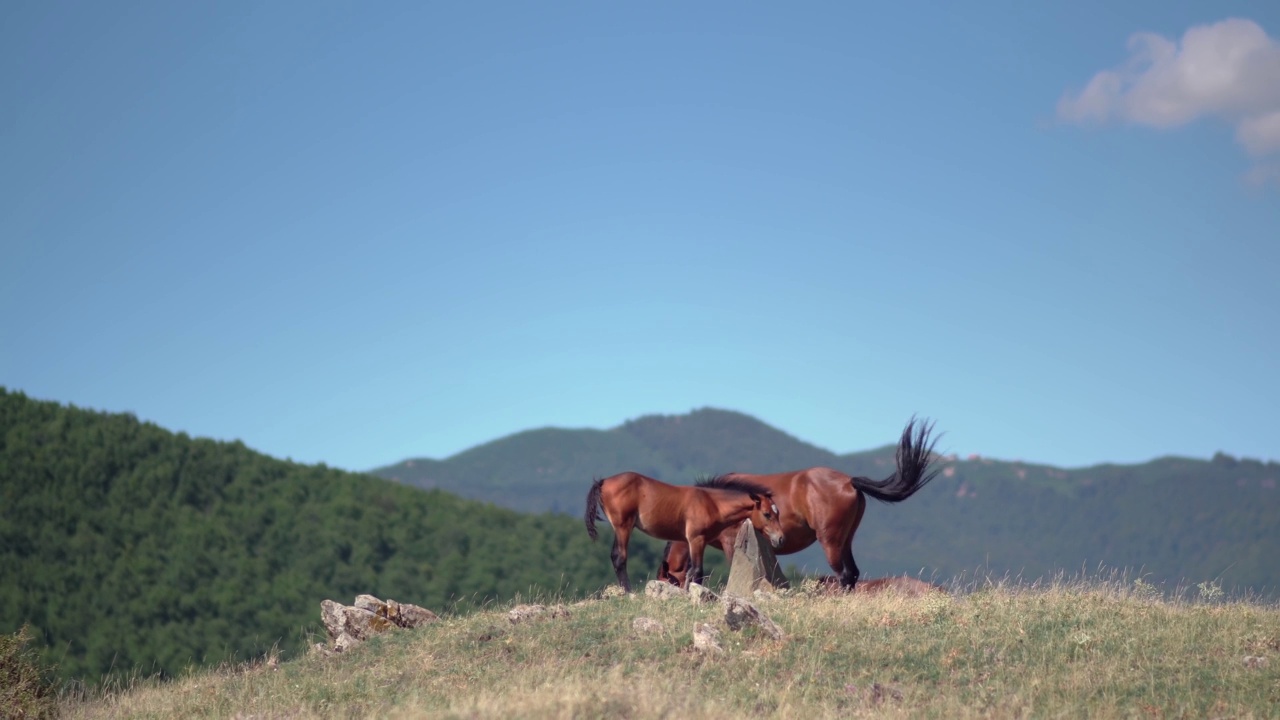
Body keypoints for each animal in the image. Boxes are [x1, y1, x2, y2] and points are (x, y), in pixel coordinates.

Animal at [586, 471, 783, 589]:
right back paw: (629, 592)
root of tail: (603, 482)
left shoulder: (698, 542)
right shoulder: (697, 539)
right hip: (623, 527)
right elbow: (697, 571)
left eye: (778, 512)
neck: (712, 504)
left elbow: (691, 572)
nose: (780, 538)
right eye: (767, 514)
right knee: (619, 557)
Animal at [660, 415, 942, 589]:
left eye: (668, 581)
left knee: (844, 575)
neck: (715, 501)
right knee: (852, 574)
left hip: (830, 541)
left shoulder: (732, 543)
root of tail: (849, 481)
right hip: (845, 540)